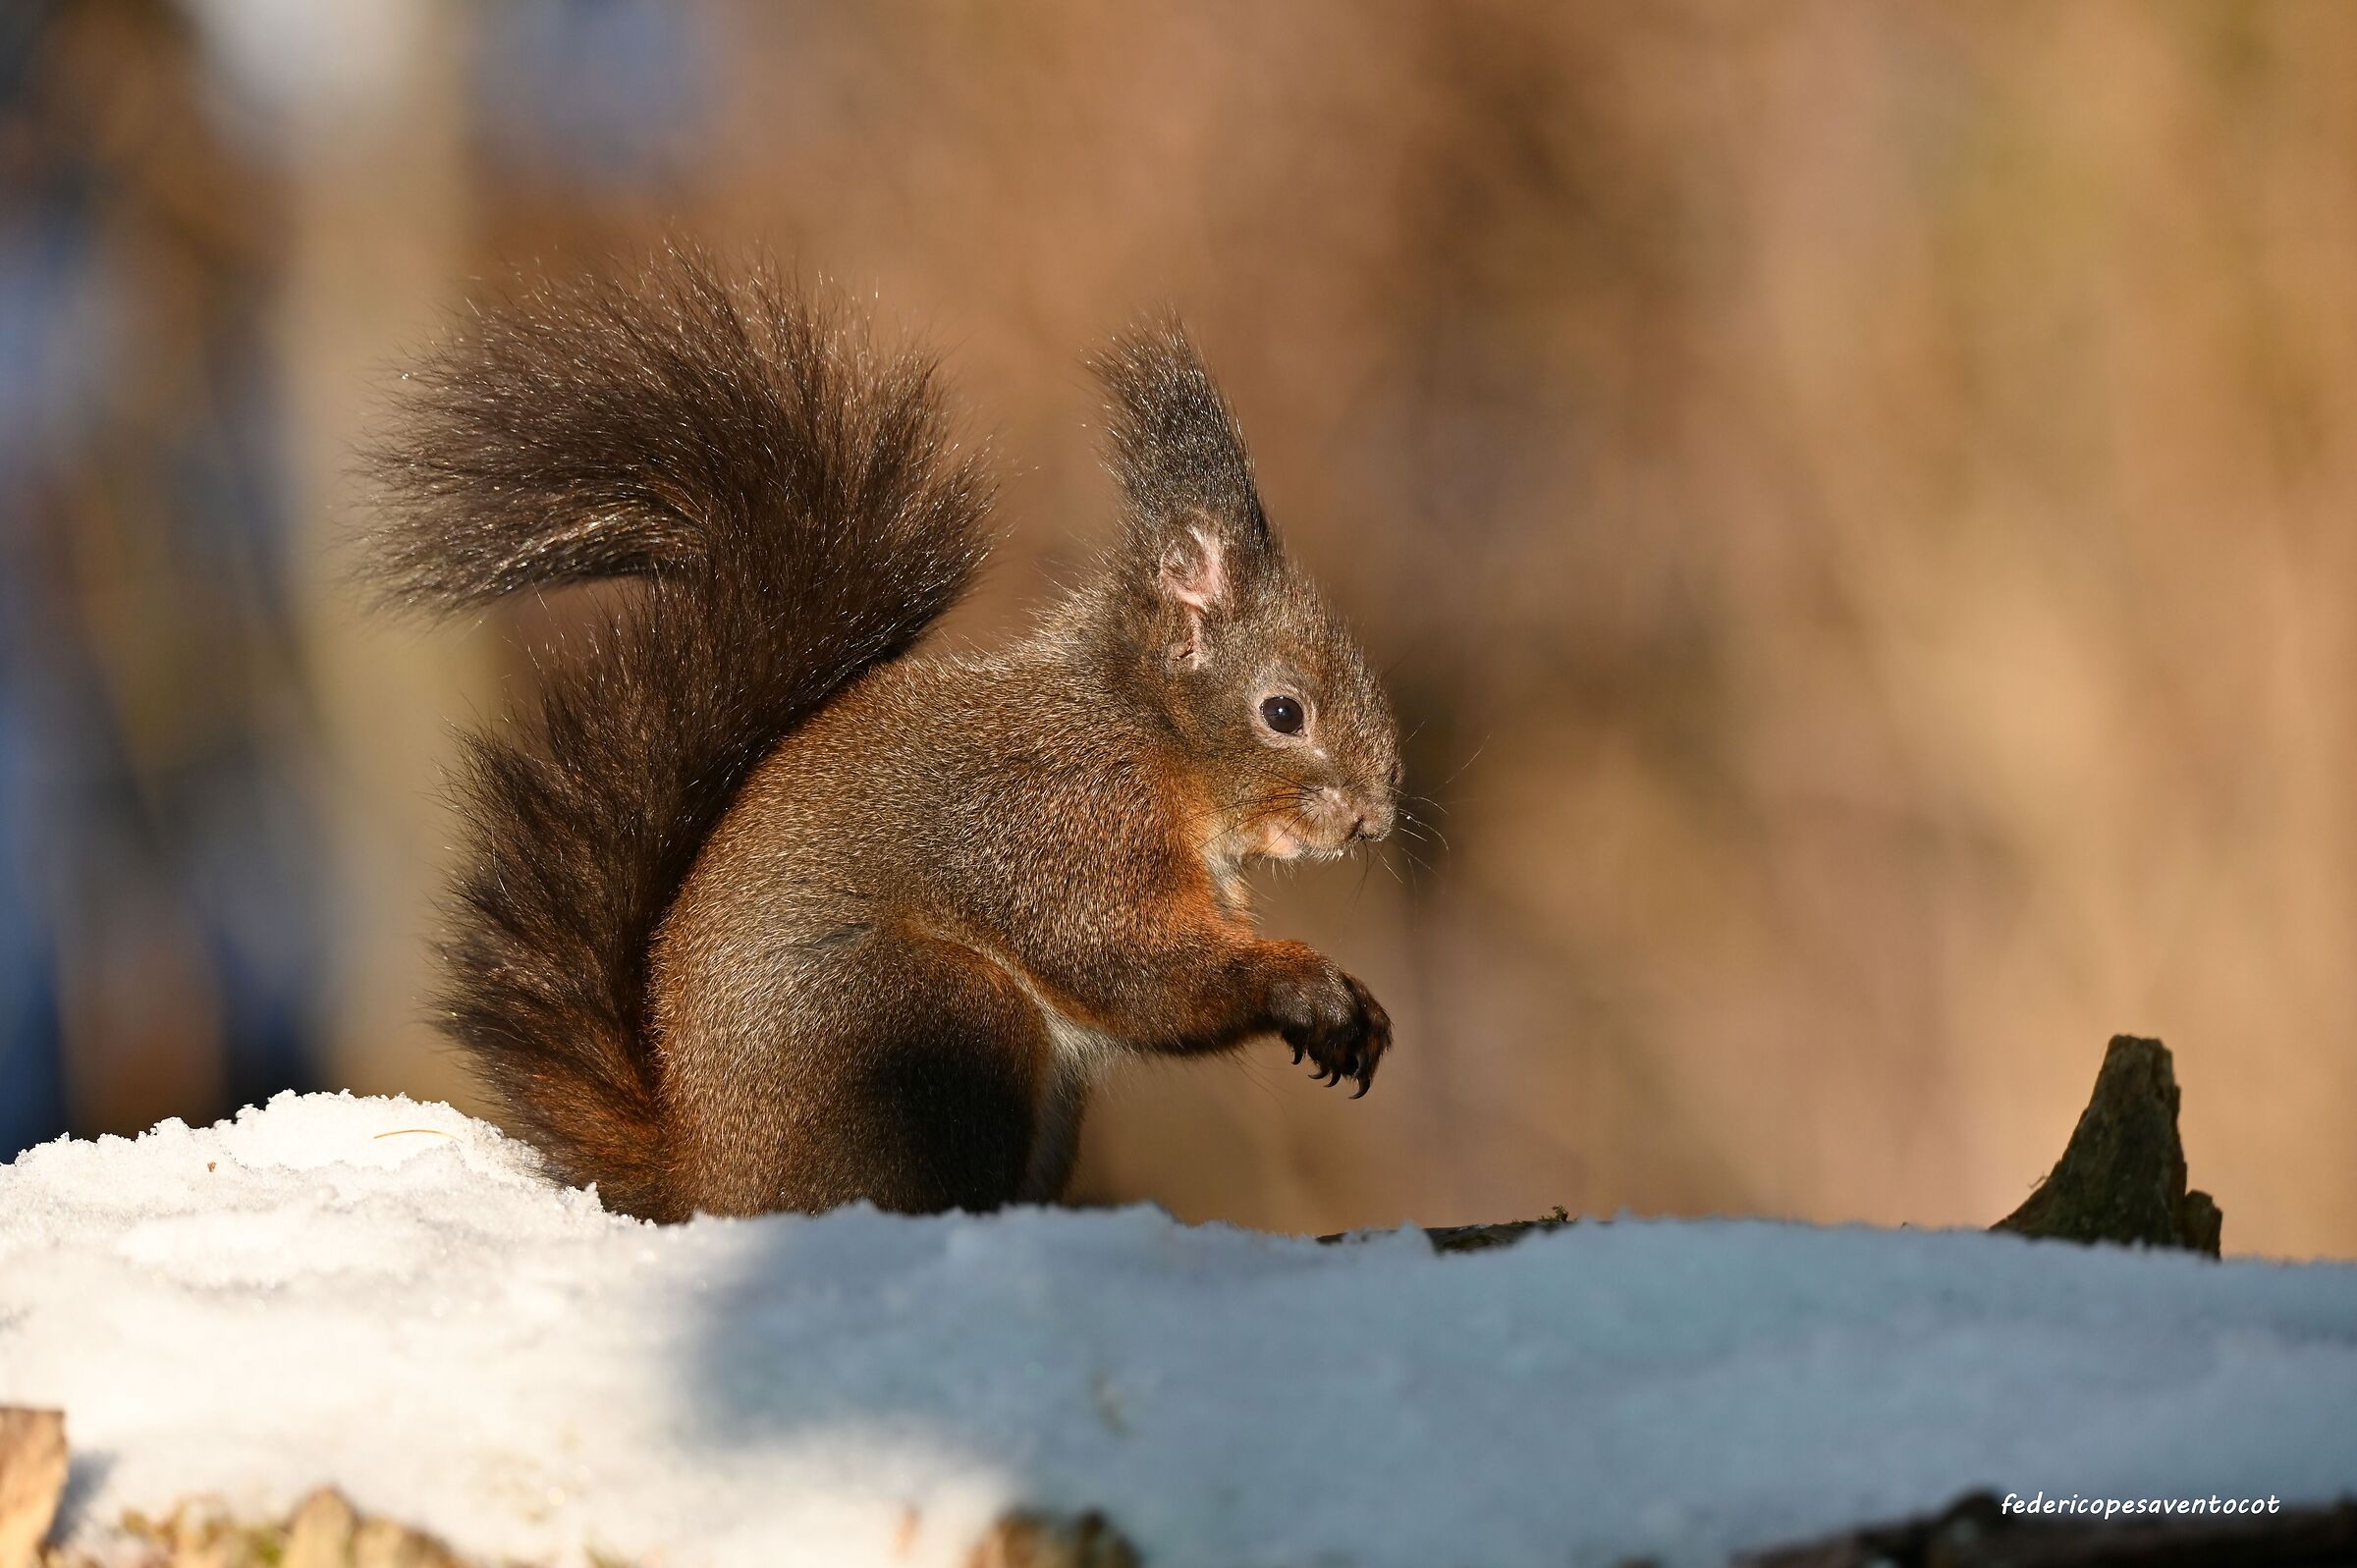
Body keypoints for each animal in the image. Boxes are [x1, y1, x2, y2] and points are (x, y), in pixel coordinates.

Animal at [366, 249, 1402, 1221]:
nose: (1374, 818)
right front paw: (1306, 984)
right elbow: (1125, 958)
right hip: (937, 1014)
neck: (1139, 731)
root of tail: (710, 1183)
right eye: (1283, 712)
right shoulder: (1059, 823)